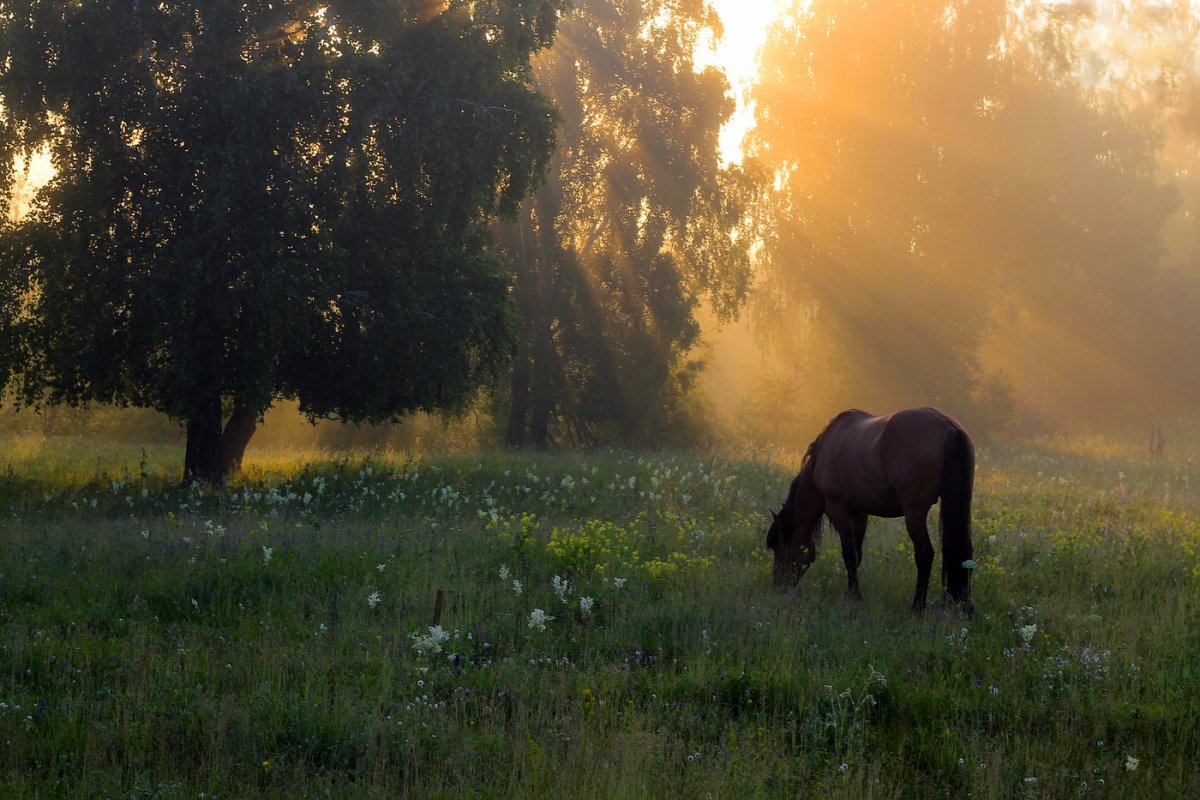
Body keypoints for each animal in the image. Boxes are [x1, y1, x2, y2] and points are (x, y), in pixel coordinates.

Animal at [768, 410, 974, 609]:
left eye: (777, 546)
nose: (777, 585)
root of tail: (948, 426)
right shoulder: (859, 513)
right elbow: (857, 555)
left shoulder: (838, 510)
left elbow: (849, 555)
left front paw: (853, 596)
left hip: (914, 514)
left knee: (924, 554)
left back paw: (917, 606)